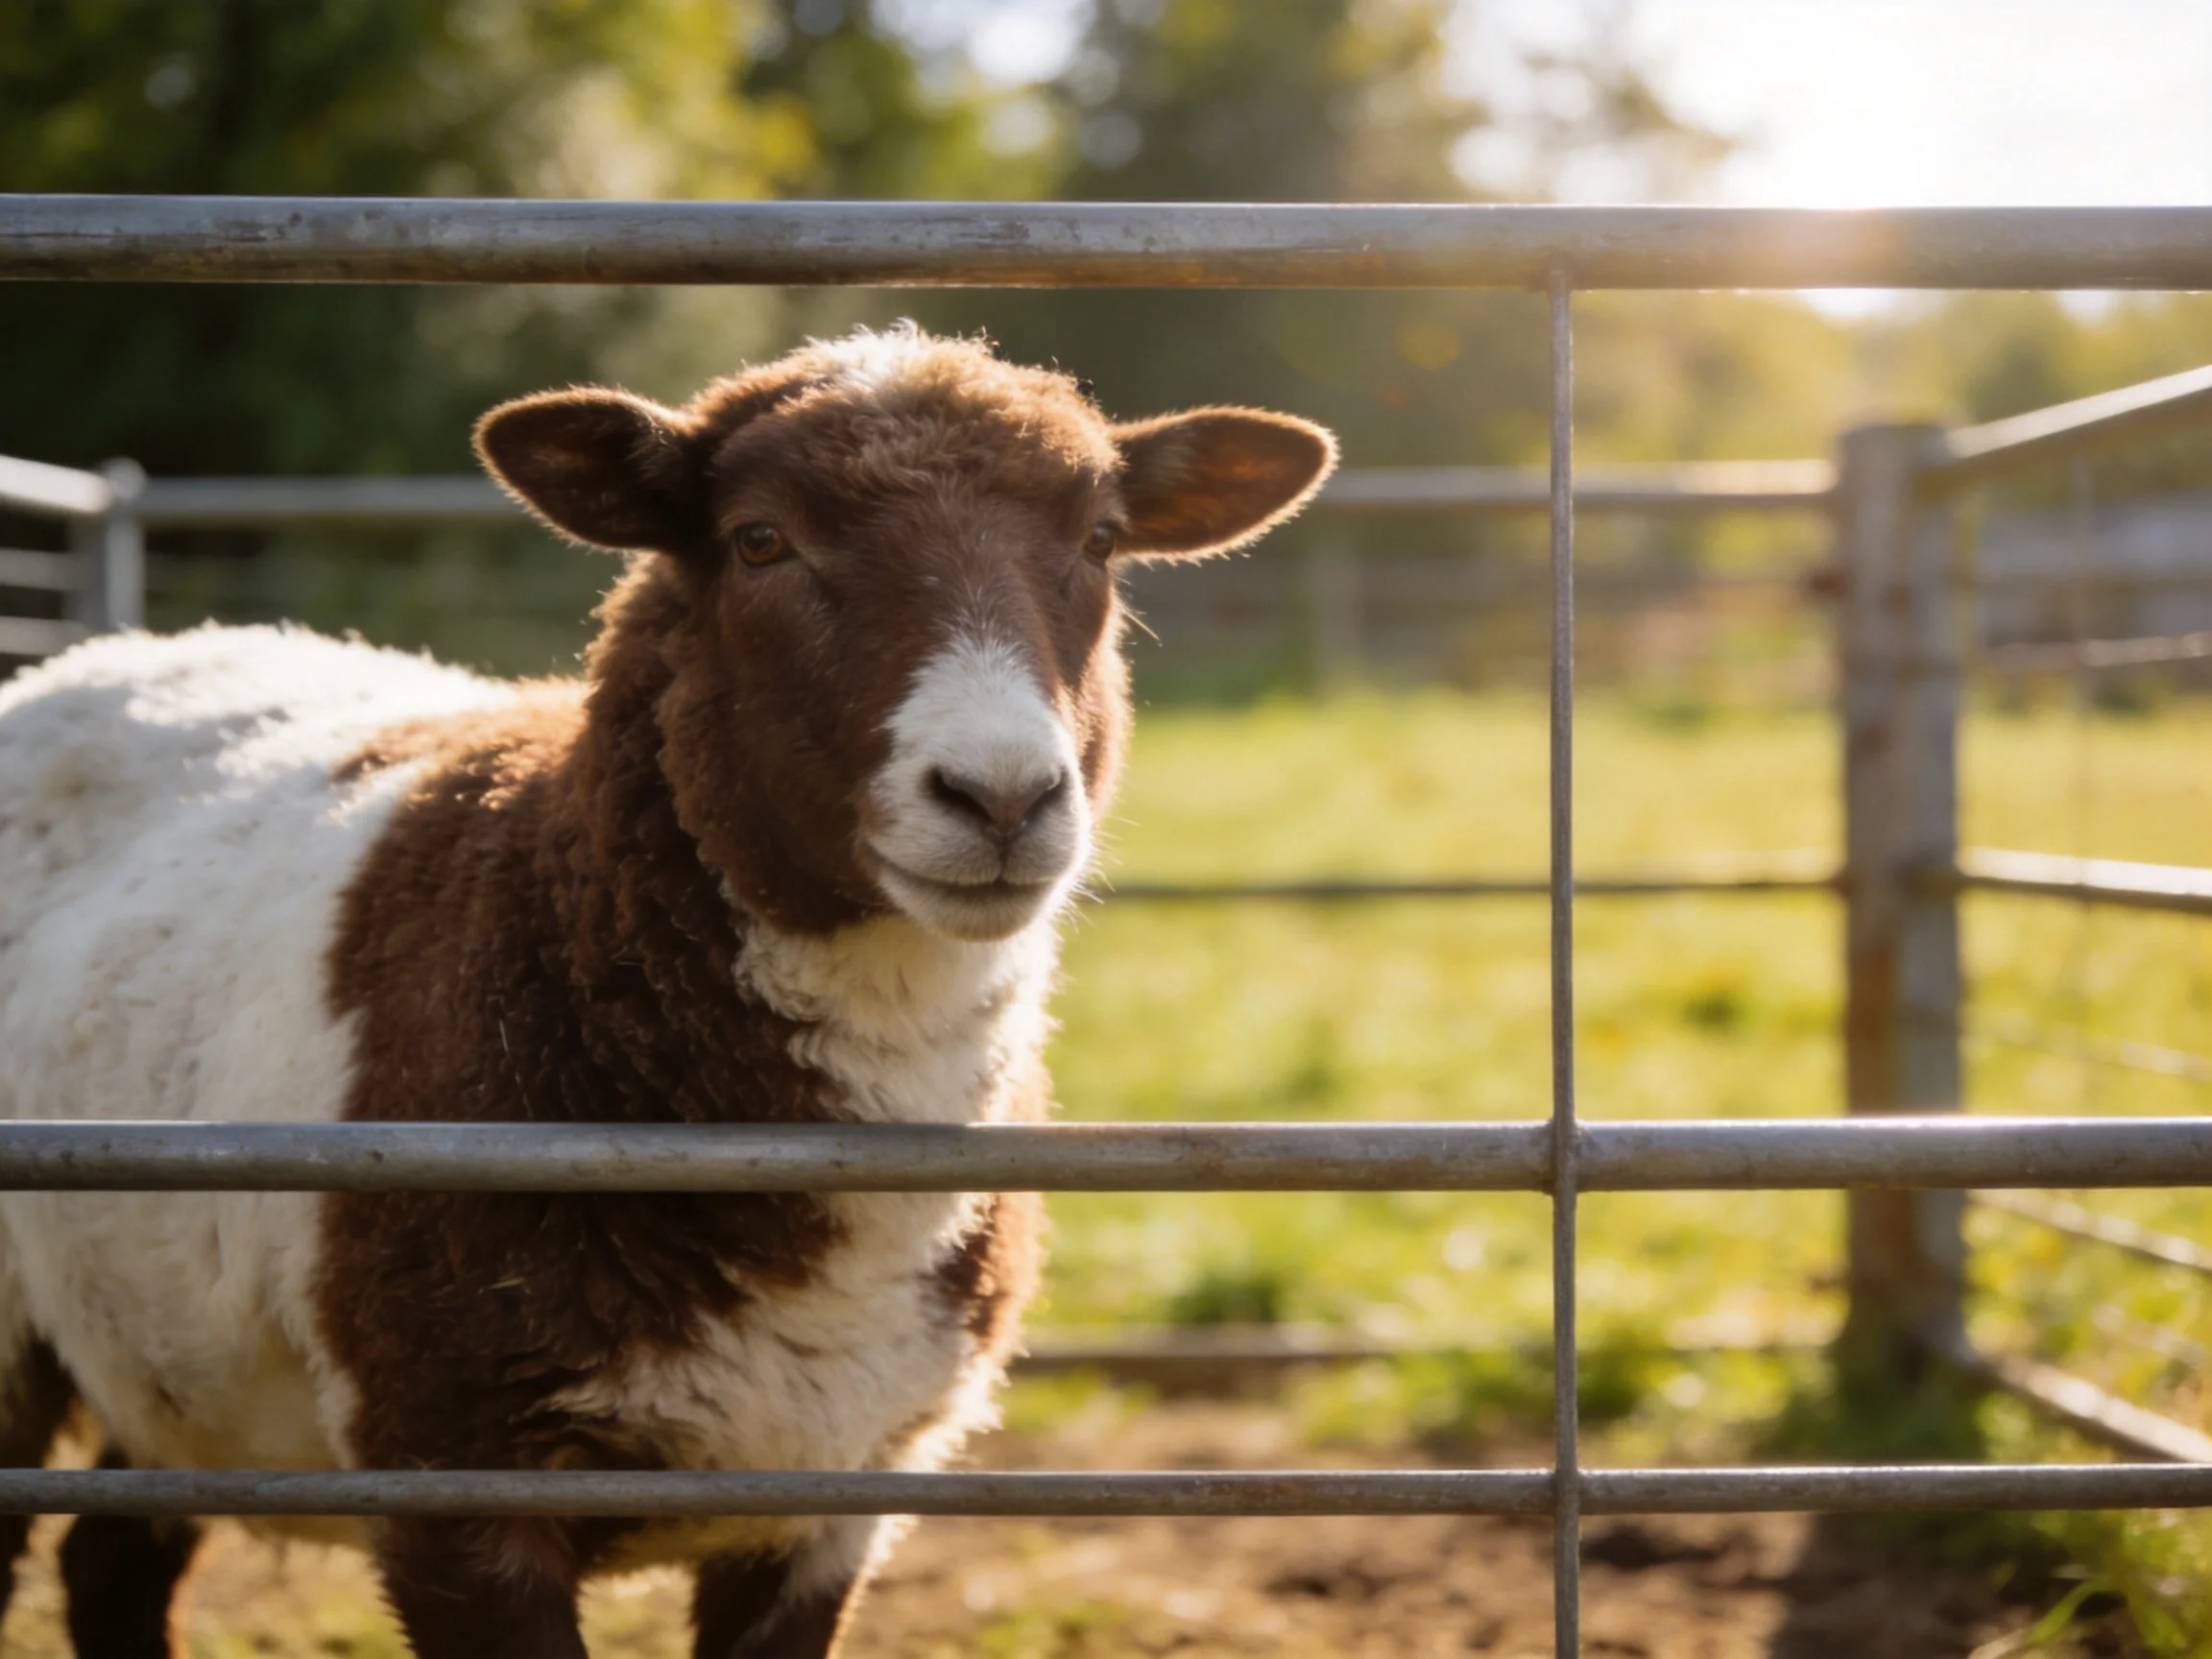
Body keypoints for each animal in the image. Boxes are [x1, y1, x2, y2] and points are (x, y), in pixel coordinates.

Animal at [0, 324, 1335, 1659]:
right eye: (758, 540)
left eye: (1101, 539)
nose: (1001, 796)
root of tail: (122, 651)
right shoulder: (451, 1480)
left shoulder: (832, 1499)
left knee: (110, 1562)